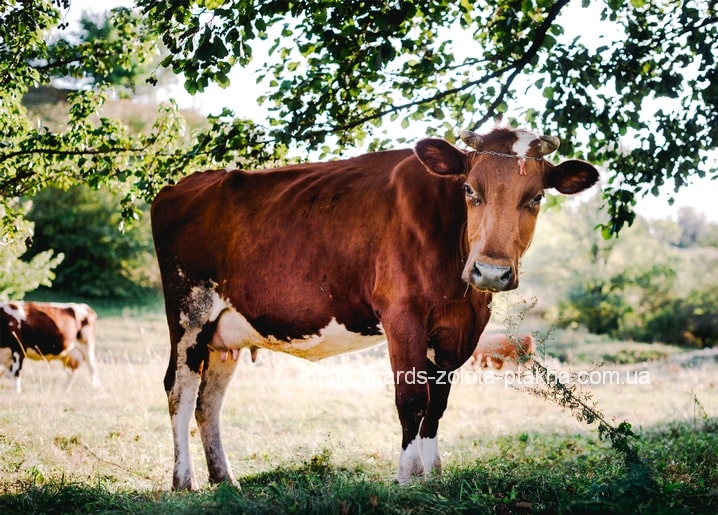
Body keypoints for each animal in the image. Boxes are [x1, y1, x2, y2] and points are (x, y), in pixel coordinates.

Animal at [153, 125, 600, 492]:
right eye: (470, 190)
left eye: (536, 197)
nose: (491, 271)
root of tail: (186, 183)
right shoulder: (403, 316)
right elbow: (412, 398)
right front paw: (408, 475)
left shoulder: (457, 332)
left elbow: (437, 404)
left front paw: (433, 474)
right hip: (189, 311)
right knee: (180, 389)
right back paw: (184, 480)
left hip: (224, 331)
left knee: (209, 401)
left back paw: (224, 478)